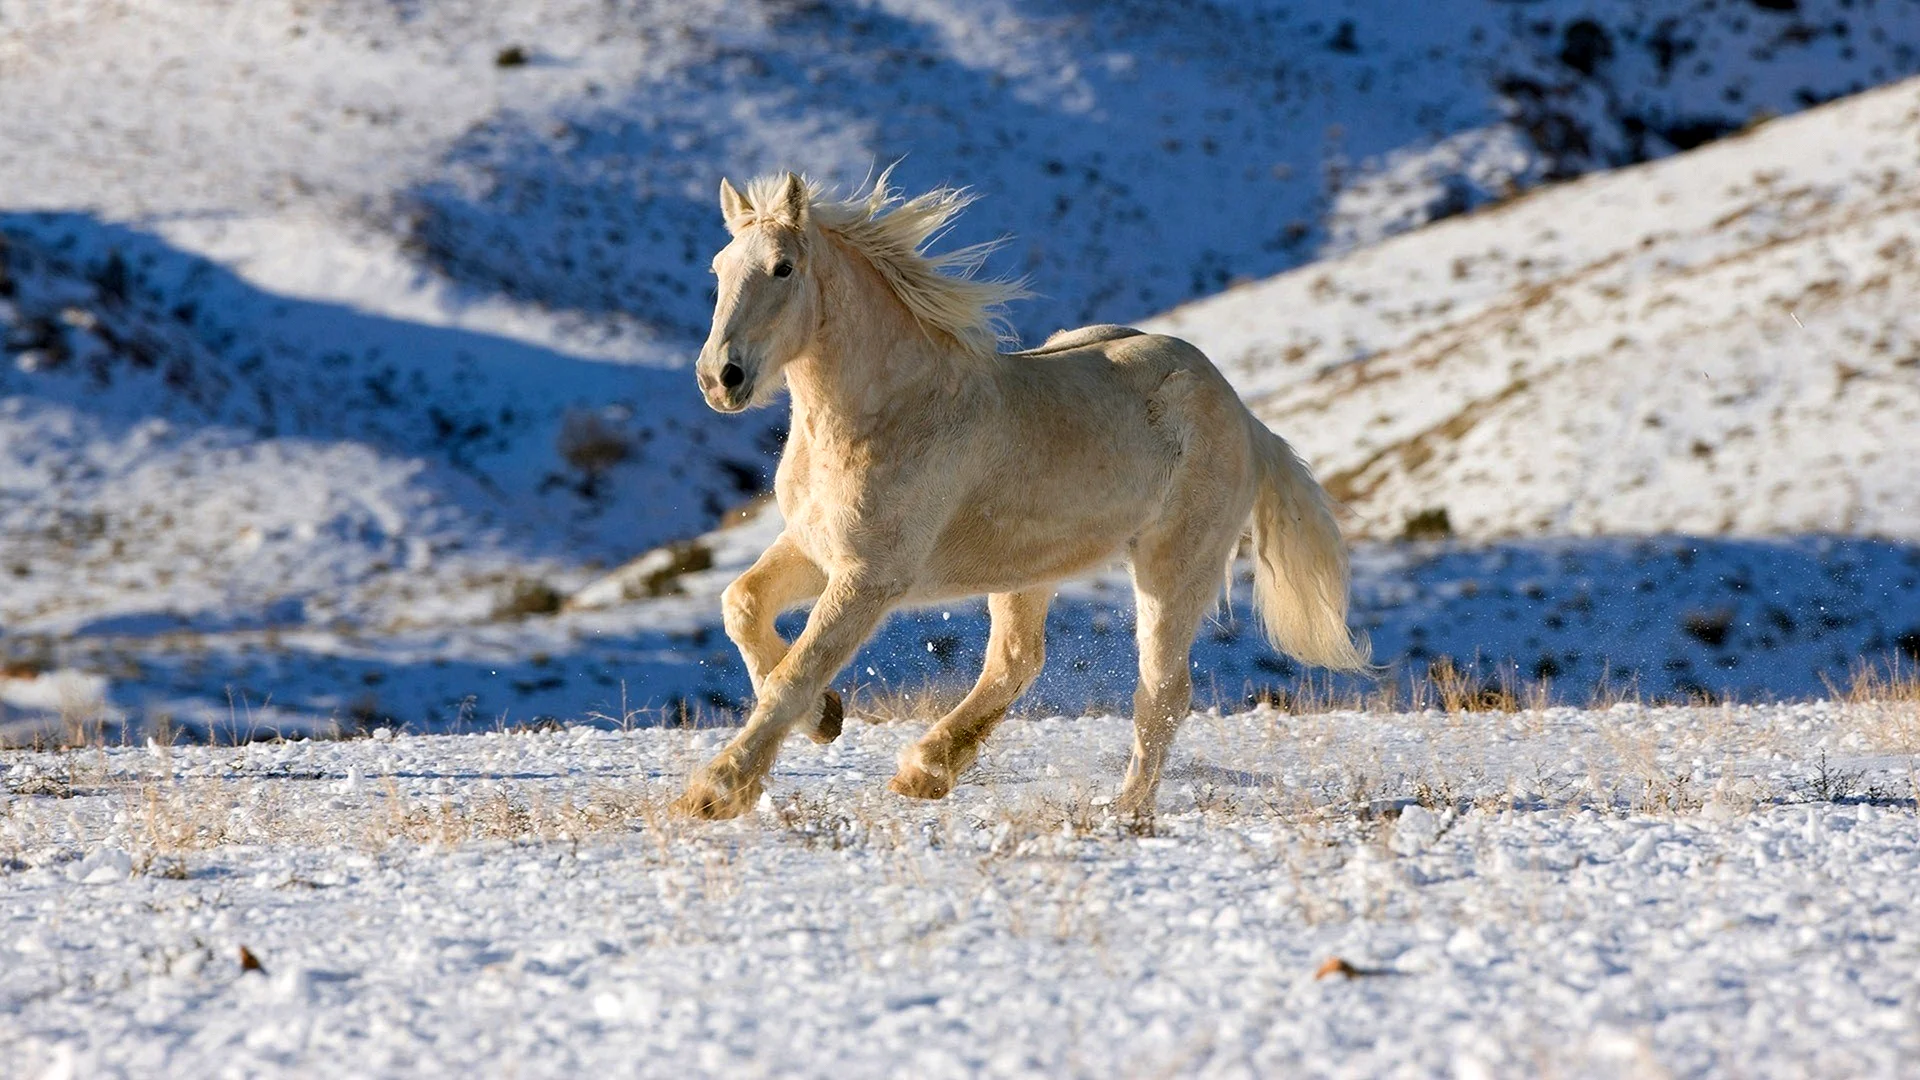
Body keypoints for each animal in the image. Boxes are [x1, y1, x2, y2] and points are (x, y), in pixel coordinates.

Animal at [675, 170, 1367, 814]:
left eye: (783, 267)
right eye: (719, 268)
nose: (719, 378)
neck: (888, 411)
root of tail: (1245, 415)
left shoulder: (871, 576)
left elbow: (797, 670)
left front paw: (715, 791)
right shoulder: (817, 548)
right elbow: (742, 606)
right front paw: (826, 717)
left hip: (1174, 566)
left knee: (1162, 692)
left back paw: (1126, 813)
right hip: (1027, 569)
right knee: (1016, 660)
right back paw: (924, 772)